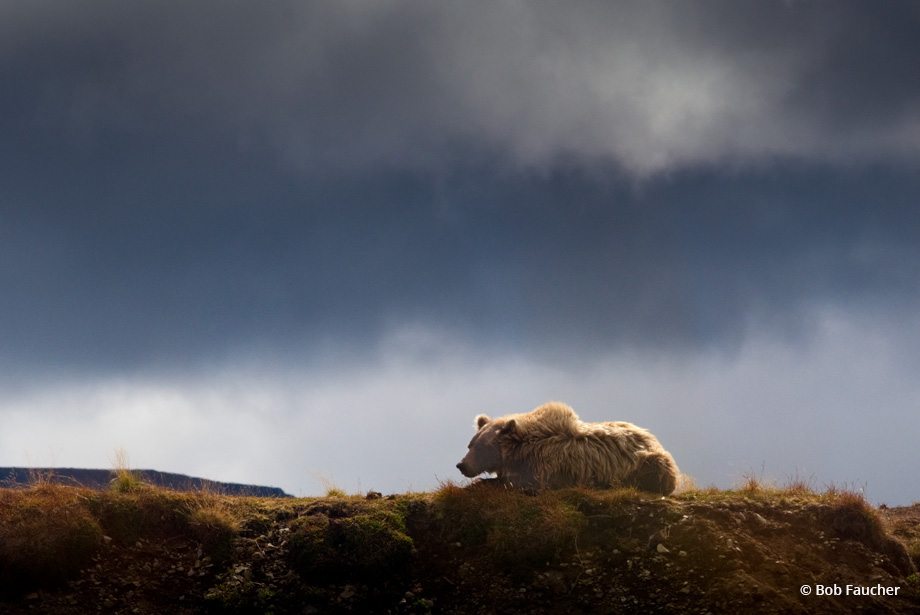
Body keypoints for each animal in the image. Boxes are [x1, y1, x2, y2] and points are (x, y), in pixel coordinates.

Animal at [456, 402, 680, 498]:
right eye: (471, 444)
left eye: (482, 447)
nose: (461, 465)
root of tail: (651, 436)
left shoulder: (545, 467)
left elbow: (519, 484)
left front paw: (481, 483)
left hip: (648, 463)